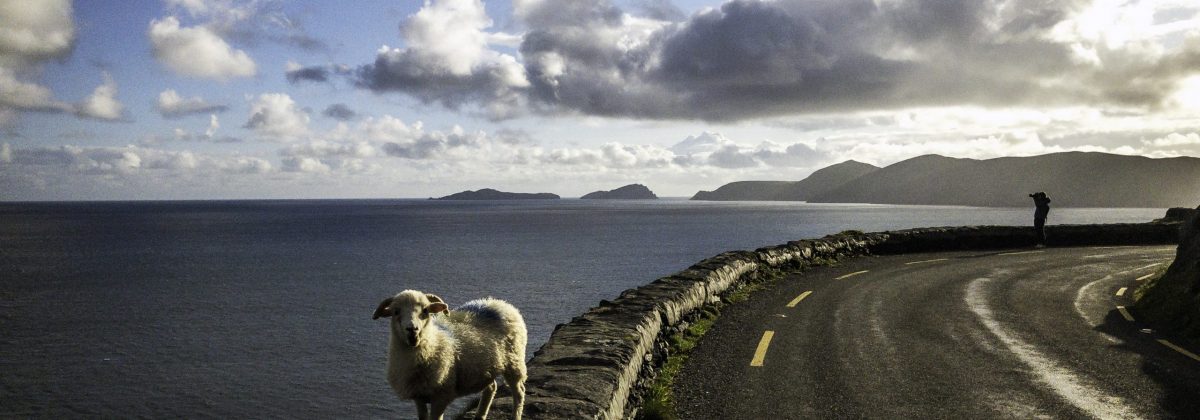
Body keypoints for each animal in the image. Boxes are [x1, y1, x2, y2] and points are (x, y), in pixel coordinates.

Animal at [372, 290, 528, 420]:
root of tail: (500, 303)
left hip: (514, 361)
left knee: (519, 392)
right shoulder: (419, 397)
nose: (412, 330)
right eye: (396, 311)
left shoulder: (441, 396)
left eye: (425, 310)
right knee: (492, 387)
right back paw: (480, 415)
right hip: (486, 368)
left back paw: (516, 416)